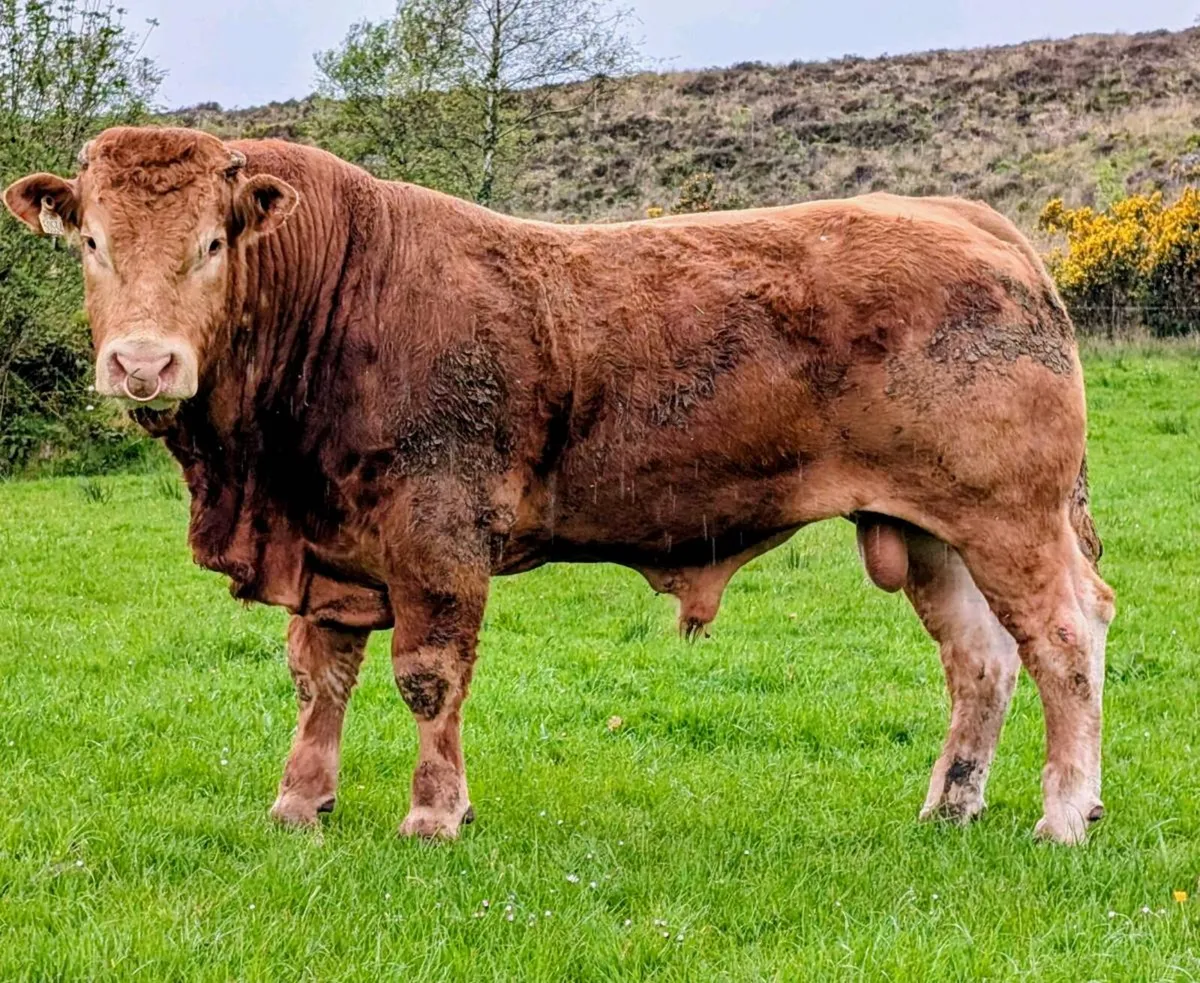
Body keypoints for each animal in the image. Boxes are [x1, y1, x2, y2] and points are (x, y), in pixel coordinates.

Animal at [4, 126, 1114, 845]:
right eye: (93, 242)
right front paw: (300, 801)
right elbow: (321, 676)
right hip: (927, 530)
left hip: (1010, 519)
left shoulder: (438, 535)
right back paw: (952, 803)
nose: (143, 363)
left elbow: (427, 675)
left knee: (1065, 640)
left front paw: (434, 811)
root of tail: (967, 219)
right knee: (982, 661)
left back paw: (1065, 812)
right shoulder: (327, 546)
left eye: (212, 243)